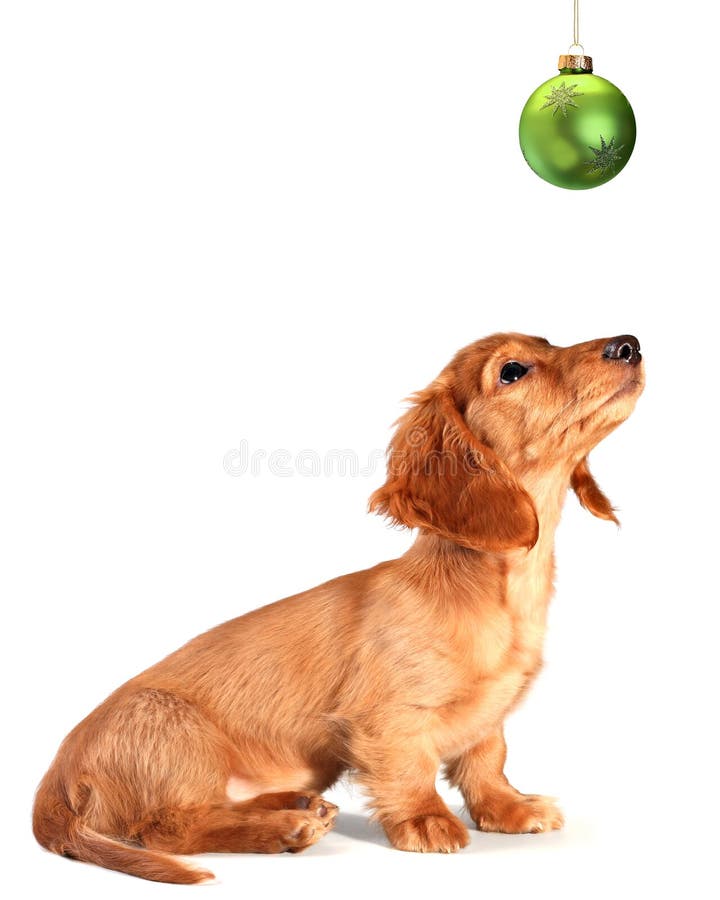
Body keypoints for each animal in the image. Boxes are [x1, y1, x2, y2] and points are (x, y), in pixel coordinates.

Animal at [31, 330, 644, 880]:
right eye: (512, 371)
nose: (630, 345)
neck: (493, 592)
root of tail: (54, 776)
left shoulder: (488, 719)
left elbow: (486, 758)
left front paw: (508, 808)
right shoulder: (386, 718)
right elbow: (411, 768)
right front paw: (426, 820)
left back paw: (293, 806)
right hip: (176, 732)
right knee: (169, 827)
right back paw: (285, 829)